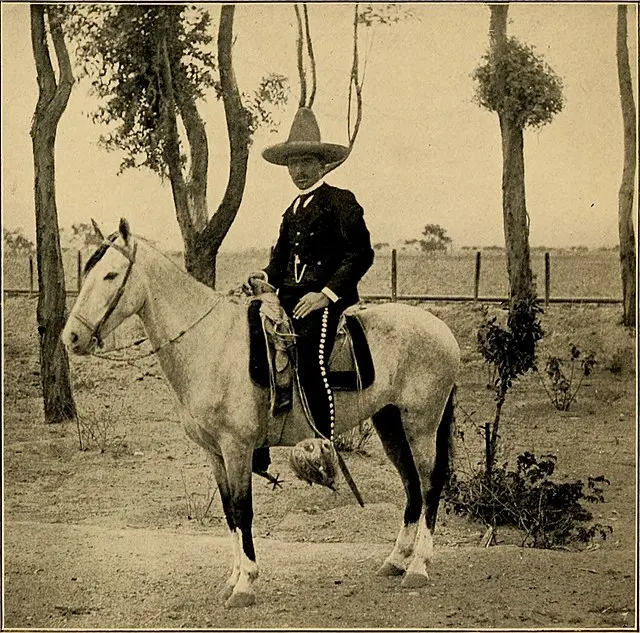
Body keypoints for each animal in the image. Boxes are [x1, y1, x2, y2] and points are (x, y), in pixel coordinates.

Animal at [61, 219, 460, 608]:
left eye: (110, 275)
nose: (72, 338)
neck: (210, 343)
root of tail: (443, 329)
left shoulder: (237, 447)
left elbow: (243, 510)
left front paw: (245, 585)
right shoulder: (214, 453)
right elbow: (229, 513)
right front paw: (232, 579)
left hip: (422, 425)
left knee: (430, 484)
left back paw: (419, 566)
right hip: (390, 422)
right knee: (411, 486)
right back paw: (396, 560)